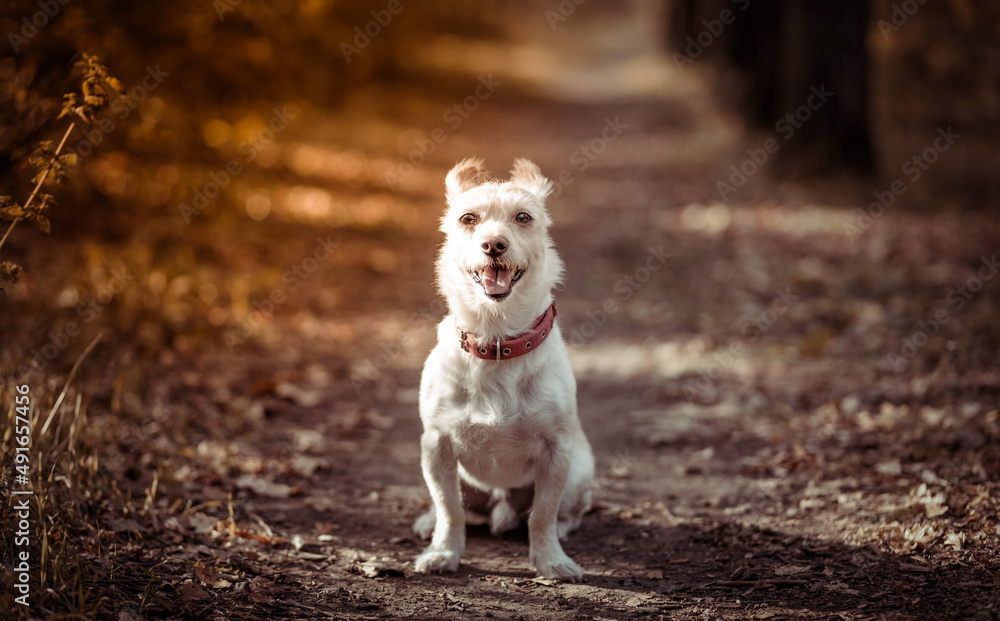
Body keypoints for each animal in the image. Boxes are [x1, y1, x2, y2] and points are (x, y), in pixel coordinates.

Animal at [412, 156, 592, 580]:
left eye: (523, 217)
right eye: (468, 219)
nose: (494, 244)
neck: (496, 340)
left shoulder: (557, 452)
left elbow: (542, 514)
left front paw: (550, 560)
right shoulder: (436, 446)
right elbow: (450, 510)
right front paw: (443, 551)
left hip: (579, 473)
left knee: (562, 511)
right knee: (460, 507)